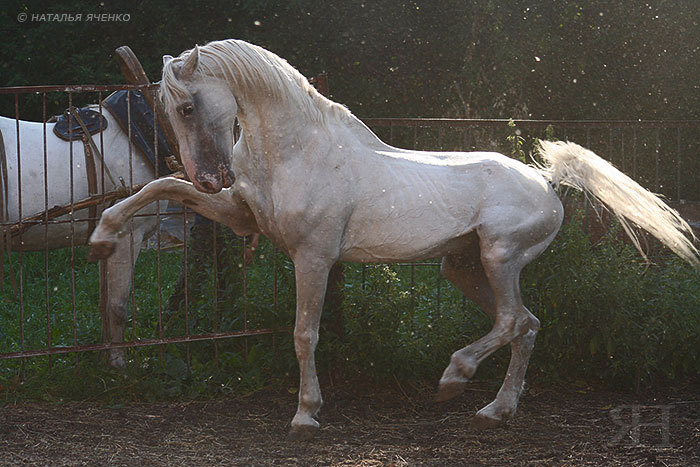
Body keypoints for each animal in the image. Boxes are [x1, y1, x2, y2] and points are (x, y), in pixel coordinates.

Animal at [89, 39, 700, 438]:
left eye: (187, 106)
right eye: (170, 110)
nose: (210, 178)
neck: (296, 151)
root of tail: (547, 180)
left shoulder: (313, 256)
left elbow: (305, 334)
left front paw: (306, 414)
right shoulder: (241, 218)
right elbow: (158, 186)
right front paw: (102, 234)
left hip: (500, 256)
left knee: (510, 321)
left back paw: (454, 380)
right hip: (464, 268)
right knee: (526, 325)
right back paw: (496, 411)